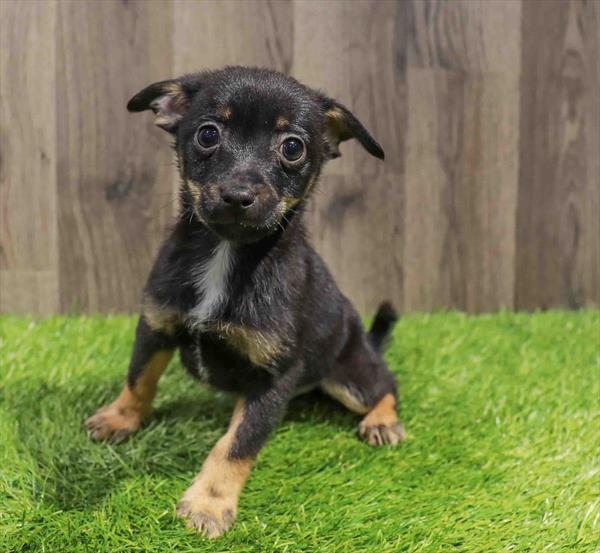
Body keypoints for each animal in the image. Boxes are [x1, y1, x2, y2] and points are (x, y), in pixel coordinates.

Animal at [84, 67, 406, 536]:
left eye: (293, 147)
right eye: (207, 134)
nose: (237, 195)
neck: (226, 253)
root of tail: (365, 342)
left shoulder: (273, 377)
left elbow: (236, 444)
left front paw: (208, 504)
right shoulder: (156, 325)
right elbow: (138, 378)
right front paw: (119, 418)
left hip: (349, 376)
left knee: (385, 384)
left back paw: (382, 421)